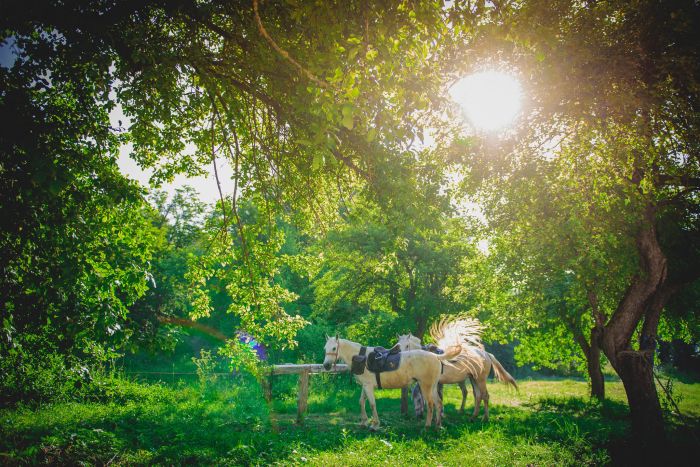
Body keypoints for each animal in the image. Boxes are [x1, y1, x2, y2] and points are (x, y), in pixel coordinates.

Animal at [326, 332, 462, 432]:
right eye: (325, 348)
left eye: (334, 348)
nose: (326, 365)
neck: (361, 357)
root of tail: (436, 356)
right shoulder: (365, 386)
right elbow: (361, 402)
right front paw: (364, 422)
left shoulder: (368, 386)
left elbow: (372, 404)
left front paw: (375, 425)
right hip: (432, 386)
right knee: (438, 403)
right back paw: (438, 426)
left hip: (425, 386)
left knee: (430, 404)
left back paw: (427, 426)